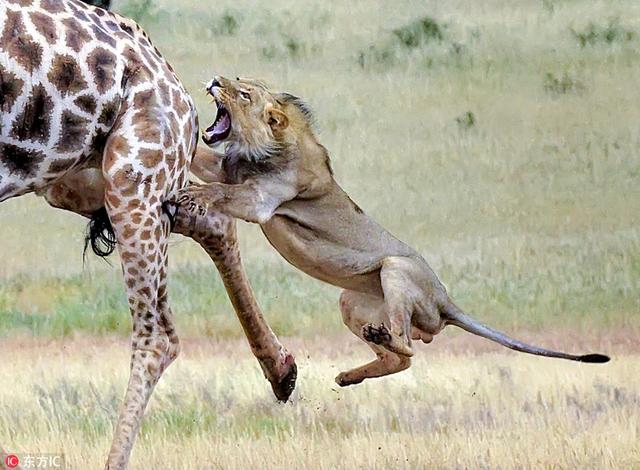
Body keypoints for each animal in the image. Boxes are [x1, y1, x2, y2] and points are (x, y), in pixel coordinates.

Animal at [179, 76, 608, 386]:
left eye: (244, 93)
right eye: (236, 81)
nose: (214, 79)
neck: (262, 148)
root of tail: (446, 301)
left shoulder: (262, 200)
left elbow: (224, 193)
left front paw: (192, 194)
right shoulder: (227, 168)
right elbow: (203, 161)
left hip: (396, 268)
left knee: (407, 346)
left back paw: (380, 343)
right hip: (352, 301)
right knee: (401, 361)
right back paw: (350, 374)